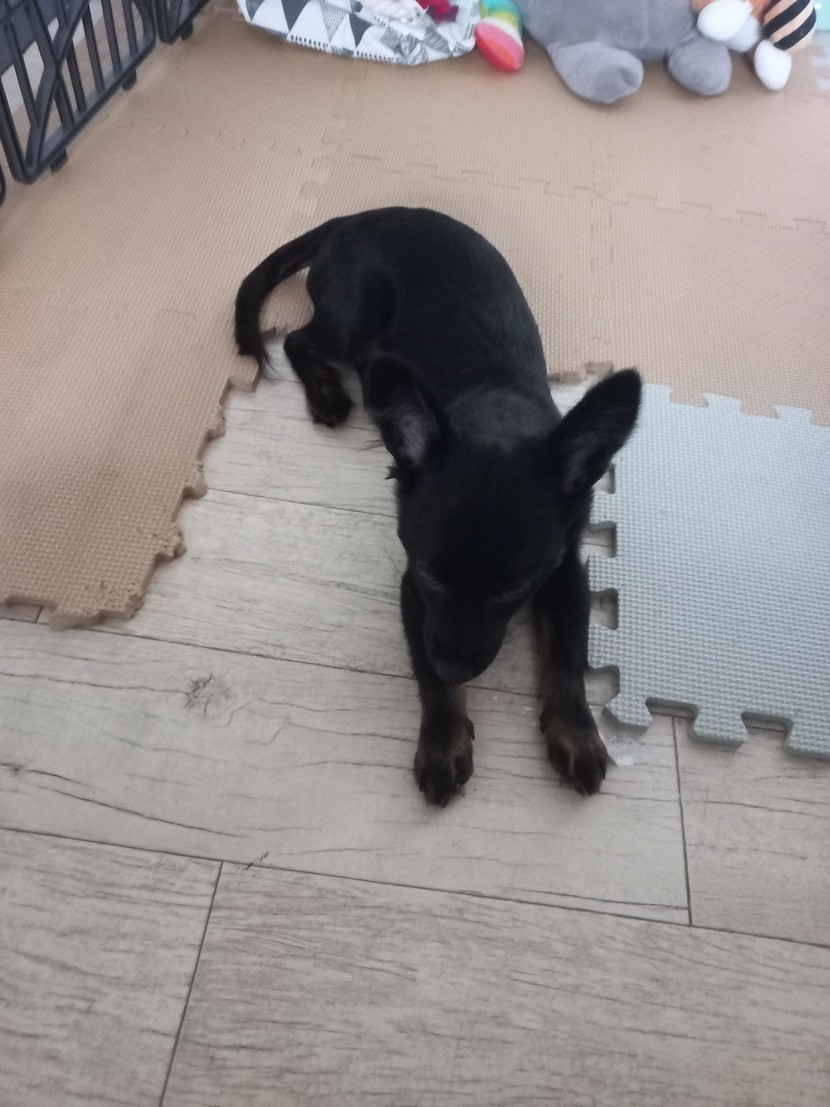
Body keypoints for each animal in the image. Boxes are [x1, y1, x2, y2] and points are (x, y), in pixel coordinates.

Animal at [235, 207, 641, 805]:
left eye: (514, 590)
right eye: (430, 574)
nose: (455, 665)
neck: (497, 418)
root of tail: (354, 217)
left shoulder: (566, 569)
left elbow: (567, 652)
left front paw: (576, 732)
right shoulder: (413, 590)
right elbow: (427, 677)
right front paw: (442, 741)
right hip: (352, 317)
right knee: (298, 340)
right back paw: (328, 392)